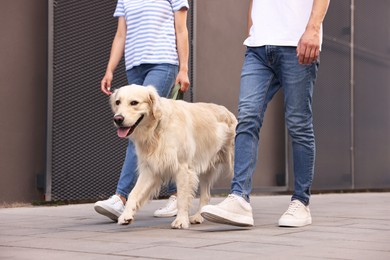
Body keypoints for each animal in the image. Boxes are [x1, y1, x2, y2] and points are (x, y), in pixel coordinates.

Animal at [111, 84, 236, 229]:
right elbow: (134, 193)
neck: (156, 129)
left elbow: (181, 197)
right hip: (206, 169)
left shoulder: (182, 168)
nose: (117, 119)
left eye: (134, 103)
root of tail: (228, 113)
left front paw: (181, 220)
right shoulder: (150, 169)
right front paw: (126, 215)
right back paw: (198, 216)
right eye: (117, 102)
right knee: (206, 195)